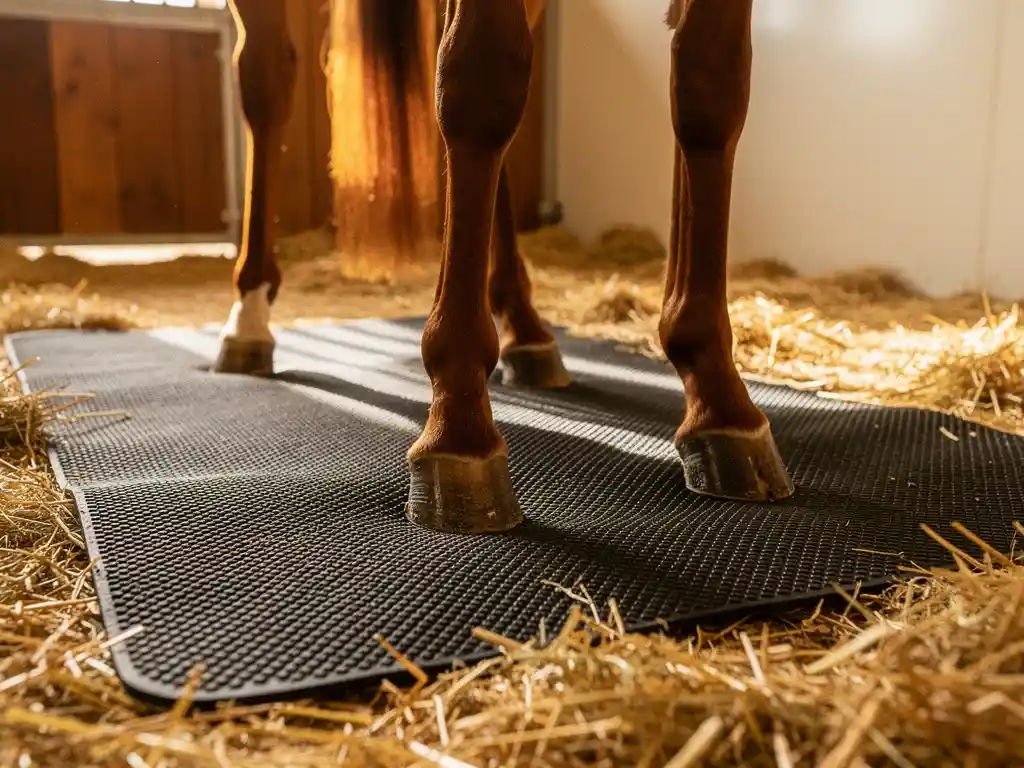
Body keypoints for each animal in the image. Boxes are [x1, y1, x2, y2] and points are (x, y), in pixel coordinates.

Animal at [215, 0, 794, 535]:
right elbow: (480, 76)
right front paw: (459, 424)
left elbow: (710, 87)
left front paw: (719, 395)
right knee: (266, 78)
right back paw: (249, 316)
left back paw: (524, 325)